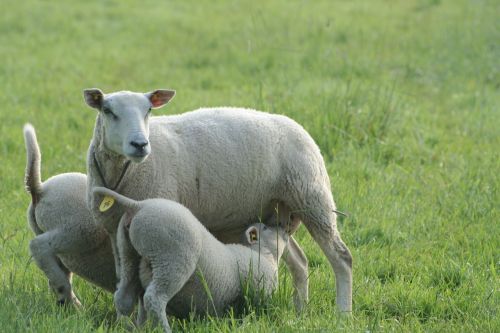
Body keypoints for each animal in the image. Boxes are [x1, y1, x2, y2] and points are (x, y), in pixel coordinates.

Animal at [84, 88, 354, 312]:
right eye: (108, 111)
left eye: (148, 110)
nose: (140, 144)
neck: (124, 173)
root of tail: (298, 126)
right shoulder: (115, 232)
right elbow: (123, 280)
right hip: (278, 213)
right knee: (299, 261)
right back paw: (300, 311)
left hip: (312, 198)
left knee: (342, 258)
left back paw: (343, 313)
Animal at [93, 185, 292, 330]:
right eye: (265, 228)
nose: (284, 228)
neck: (264, 255)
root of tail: (139, 205)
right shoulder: (259, 294)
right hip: (172, 259)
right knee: (154, 298)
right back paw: (164, 329)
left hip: (128, 253)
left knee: (124, 297)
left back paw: (127, 327)